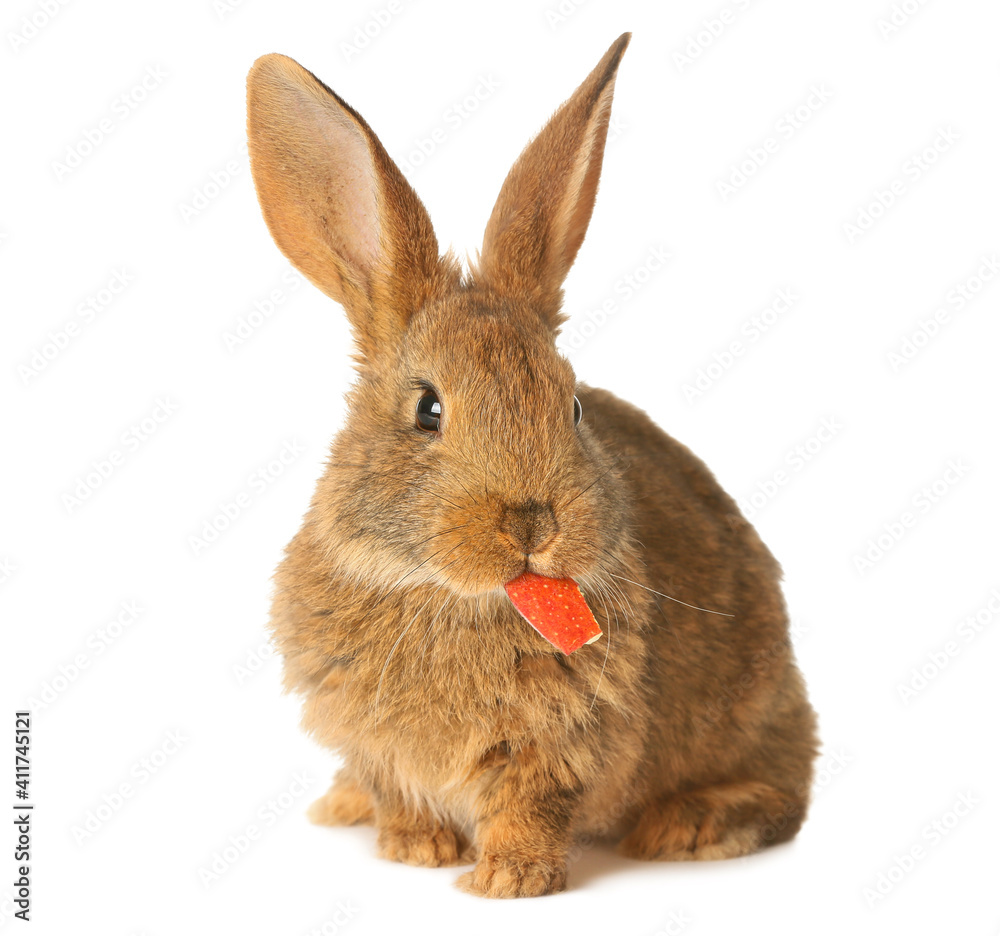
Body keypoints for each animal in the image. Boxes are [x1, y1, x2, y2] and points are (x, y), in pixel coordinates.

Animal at [245, 32, 818, 898]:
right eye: (428, 410)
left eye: (573, 407)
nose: (531, 522)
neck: (452, 597)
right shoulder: (367, 734)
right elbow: (396, 791)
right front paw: (416, 850)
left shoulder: (559, 742)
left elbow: (531, 807)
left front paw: (505, 881)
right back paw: (342, 808)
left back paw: (690, 826)